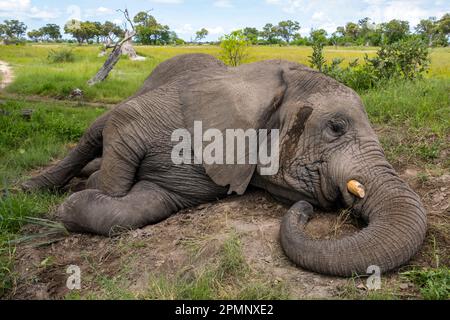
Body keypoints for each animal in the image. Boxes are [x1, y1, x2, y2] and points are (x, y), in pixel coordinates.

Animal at [22, 53, 428, 276]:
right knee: (96, 130)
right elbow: (118, 145)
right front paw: (81, 193)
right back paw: (28, 187)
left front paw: (77, 201)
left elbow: (140, 207)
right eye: (336, 127)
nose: (305, 210)